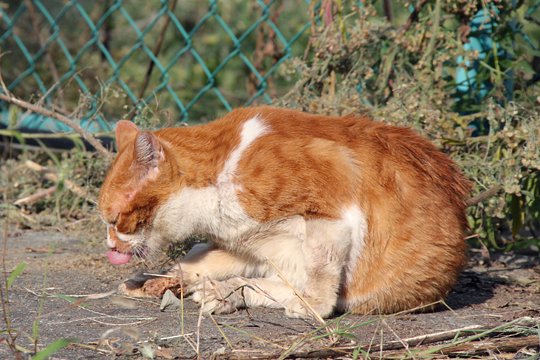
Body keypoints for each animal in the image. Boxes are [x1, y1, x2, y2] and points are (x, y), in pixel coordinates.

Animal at [99, 106, 470, 318]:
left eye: (115, 220)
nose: (110, 246)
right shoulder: (247, 244)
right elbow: (199, 259)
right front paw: (158, 280)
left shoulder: (332, 201)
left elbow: (319, 284)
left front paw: (308, 306)